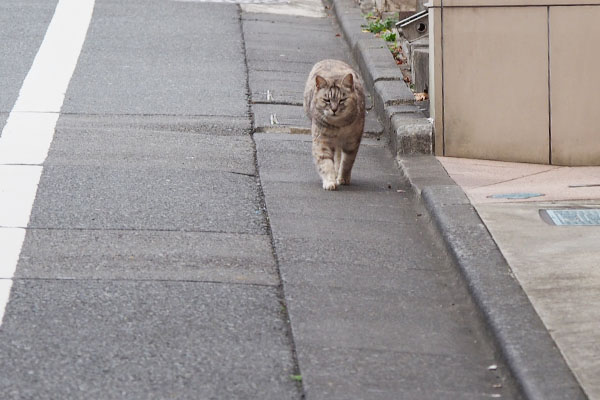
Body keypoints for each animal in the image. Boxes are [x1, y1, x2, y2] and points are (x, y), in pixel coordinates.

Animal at [302, 59, 364, 191]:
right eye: (327, 100)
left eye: (342, 100)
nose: (334, 109)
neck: (338, 126)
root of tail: (330, 59)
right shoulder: (322, 141)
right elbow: (325, 163)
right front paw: (330, 182)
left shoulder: (352, 141)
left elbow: (347, 162)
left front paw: (343, 178)